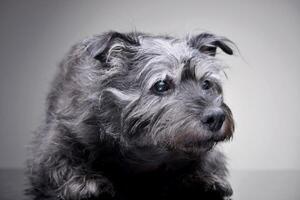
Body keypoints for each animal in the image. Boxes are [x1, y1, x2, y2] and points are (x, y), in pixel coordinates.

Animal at [25, 31, 236, 200]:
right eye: (161, 85)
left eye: (206, 83)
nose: (216, 117)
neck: (147, 151)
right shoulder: (55, 141)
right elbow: (60, 162)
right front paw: (85, 183)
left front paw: (204, 178)